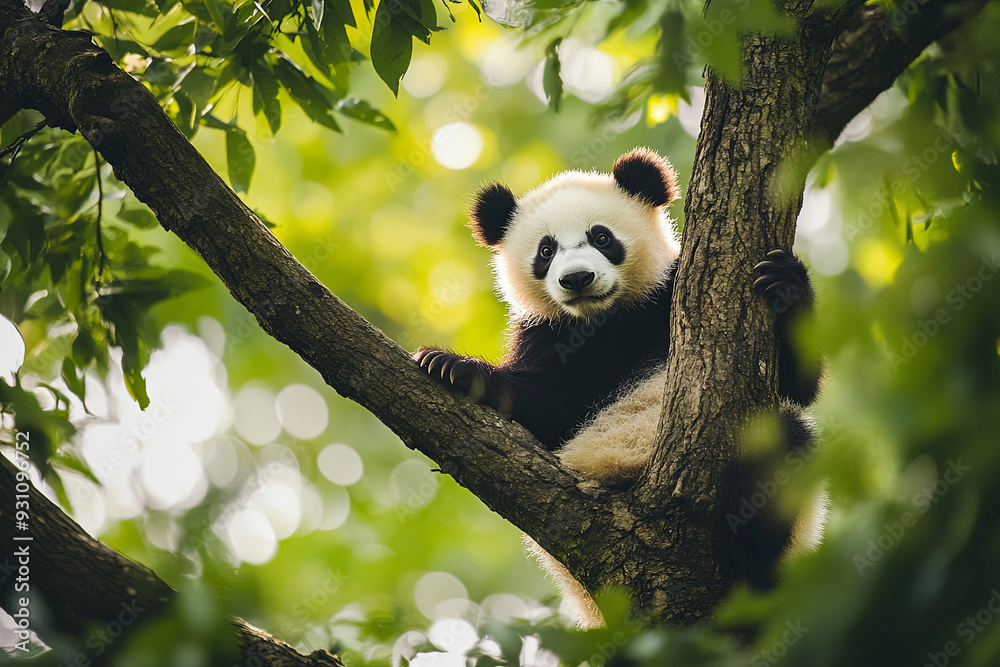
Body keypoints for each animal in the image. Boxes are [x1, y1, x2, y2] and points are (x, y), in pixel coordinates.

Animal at [414, 147, 825, 627]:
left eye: (601, 237)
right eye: (546, 250)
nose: (576, 279)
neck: (606, 319)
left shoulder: (671, 292)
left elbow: (796, 386)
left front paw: (784, 282)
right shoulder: (549, 337)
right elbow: (548, 409)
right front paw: (453, 367)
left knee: (783, 443)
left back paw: (749, 565)